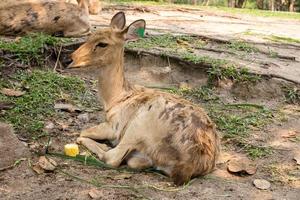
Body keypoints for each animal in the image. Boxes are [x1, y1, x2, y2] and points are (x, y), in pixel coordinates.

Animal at [68, 11, 220, 185]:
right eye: (89, 36)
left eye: (102, 44)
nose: (71, 58)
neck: (115, 99)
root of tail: (188, 166)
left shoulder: (114, 126)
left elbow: (84, 131)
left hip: (139, 124)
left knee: (112, 157)